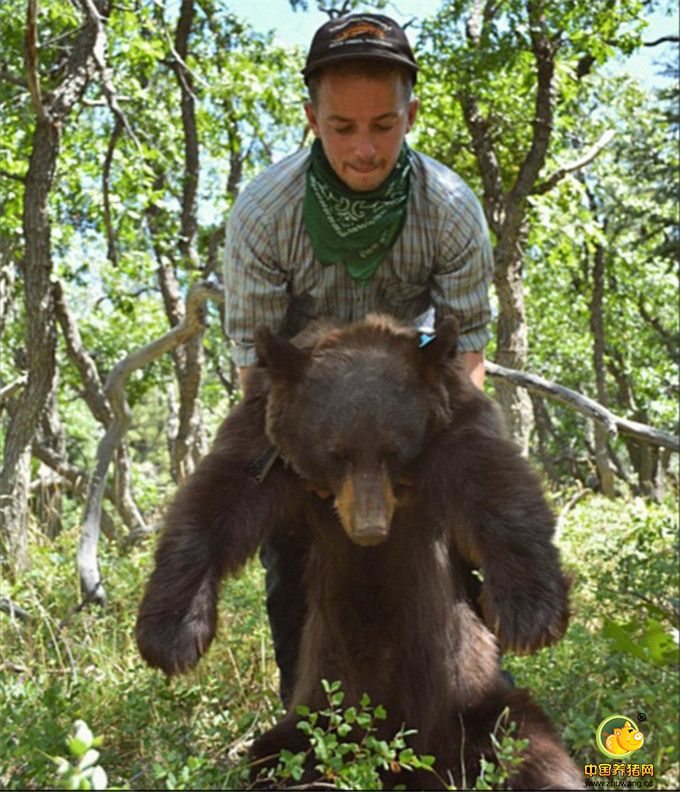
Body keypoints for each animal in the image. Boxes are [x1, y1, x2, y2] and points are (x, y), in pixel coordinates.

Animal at [135, 312, 580, 788]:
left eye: (393, 450)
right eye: (336, 454)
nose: (369, 529)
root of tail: (409, 758)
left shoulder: (454, 423)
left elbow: (497, 485)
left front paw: (529, 614)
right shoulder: (262, 435)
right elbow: (217, 500)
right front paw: (172, 636)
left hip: (473, 699)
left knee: (523, 741)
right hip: (319, 714)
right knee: (276, 752)